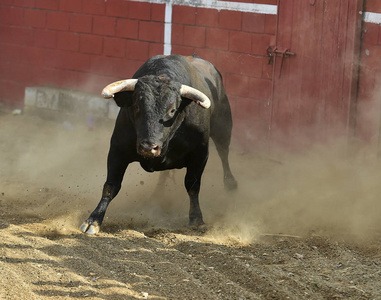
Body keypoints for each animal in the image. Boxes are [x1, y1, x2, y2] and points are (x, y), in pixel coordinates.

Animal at [80, 55, 236, 236]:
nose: (148, 147)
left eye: (172, 110)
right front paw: (93, 220)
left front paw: (196, 219)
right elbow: (111, 186)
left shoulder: (200, 153)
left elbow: (193, 185)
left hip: (223, 127)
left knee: (224, 152)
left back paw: (231, 184)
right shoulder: (117, 150)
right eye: (137, 106)